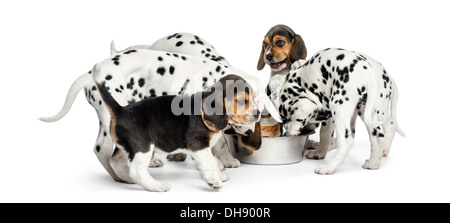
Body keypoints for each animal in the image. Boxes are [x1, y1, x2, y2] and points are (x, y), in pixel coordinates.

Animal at [96, 72, 264, 192]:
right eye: (241, 101)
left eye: (254, 99)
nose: (258, 114)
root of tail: (121, 110)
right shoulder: (198, 144)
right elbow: (210, 162)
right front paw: (213, 180)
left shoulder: (208, 146)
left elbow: (213, 160)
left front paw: (218, 174)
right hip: (143, 146)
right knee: (136, 170)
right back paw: (157, 185)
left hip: (126, 148)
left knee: (115, 161)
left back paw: (128, 180)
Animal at [268, 48, 406, 175]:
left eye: (285, 117)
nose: (285, 133)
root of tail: (370, 77)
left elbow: (323, 134)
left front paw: (317, 151)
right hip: (370, 112)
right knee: (378, 135)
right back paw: (373, 163)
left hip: (339, 107)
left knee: (348, 141)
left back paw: (328, 168)